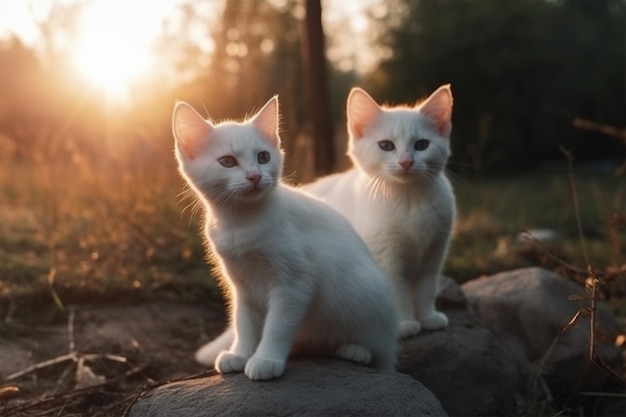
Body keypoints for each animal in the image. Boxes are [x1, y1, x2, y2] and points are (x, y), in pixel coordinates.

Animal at [171, 95, 394, 380]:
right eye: (227, 162)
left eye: (263, 157)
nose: (255, 175)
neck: (240, 224)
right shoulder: (241, 285)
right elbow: (244, 322)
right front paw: (241, 353)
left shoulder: (295, 283)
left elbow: (277, 326)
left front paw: (265, 359)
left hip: (368, 293)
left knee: (380, 351)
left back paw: (355, 350)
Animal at [304, 84, 454, 338]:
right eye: (386, 146)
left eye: (421, 145)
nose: (406, 162)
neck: (408, 198)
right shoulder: (386, 259)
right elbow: (397, 292)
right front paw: (404, 324)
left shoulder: (434, 254)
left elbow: (426, 289)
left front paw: (428, 317)